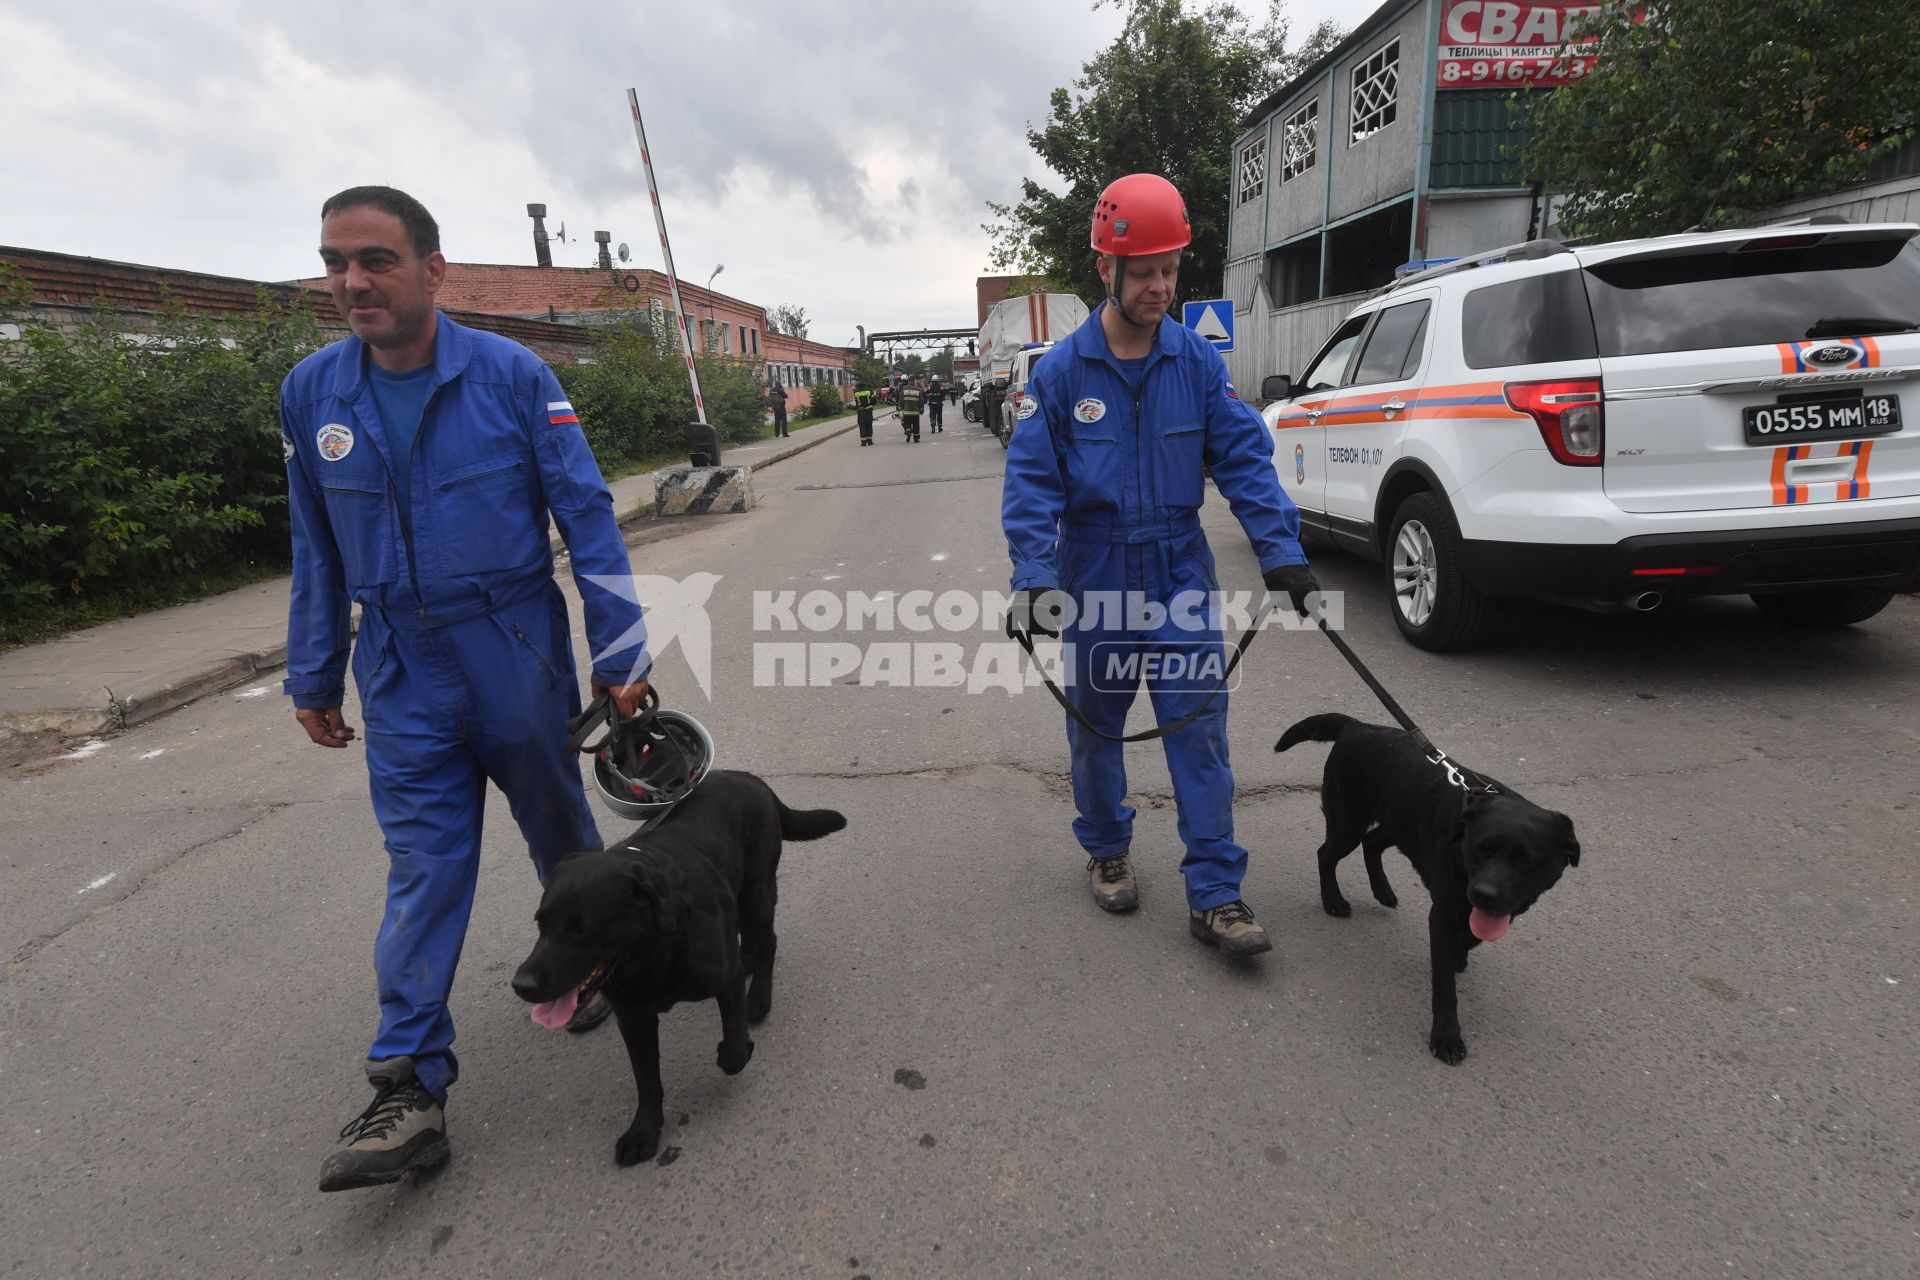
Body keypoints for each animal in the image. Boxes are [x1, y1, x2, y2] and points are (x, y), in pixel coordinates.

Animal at [514, 767, 844, 1166]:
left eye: (583, 929)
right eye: (540, 923)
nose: (522, 984)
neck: (652, 954)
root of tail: (749, 777)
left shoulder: (726, 980)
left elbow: (733, 1052)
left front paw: (737, 1047)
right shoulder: (634, 1018)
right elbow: (647, 1081)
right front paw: (643, 1131)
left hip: (758, 890)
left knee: (768, 942)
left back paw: (759, 999)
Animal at [1282, 717, 1582, 1066]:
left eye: (1525, 860)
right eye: (1479, 849)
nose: (1484, 893)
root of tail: (1357, 726)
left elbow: (1472, 936)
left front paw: (1461, 955)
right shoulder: (1443, 915)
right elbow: (1445, 986)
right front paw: (1447, 1037)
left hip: (1398, 825)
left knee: (1372, 843)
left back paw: (1383, 891)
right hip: (1348, 823)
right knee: (1326, 855)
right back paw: (1333, 900)